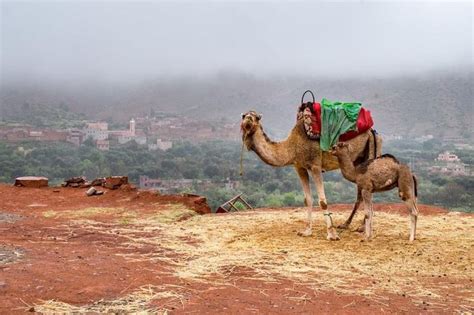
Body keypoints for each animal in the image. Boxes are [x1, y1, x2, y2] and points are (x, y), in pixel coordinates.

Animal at [241, 110, 382, 241]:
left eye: (256, 117)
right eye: (243, 116)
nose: (248, 119)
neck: (292, 146)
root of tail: (372, 131)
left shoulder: (315, 166)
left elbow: (322, 201)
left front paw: (332, 234)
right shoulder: (299, 167)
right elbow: (307, 199)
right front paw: (307, 231)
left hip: (371, 152)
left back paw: (362, 227)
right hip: (358, 160)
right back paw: (347, 224)